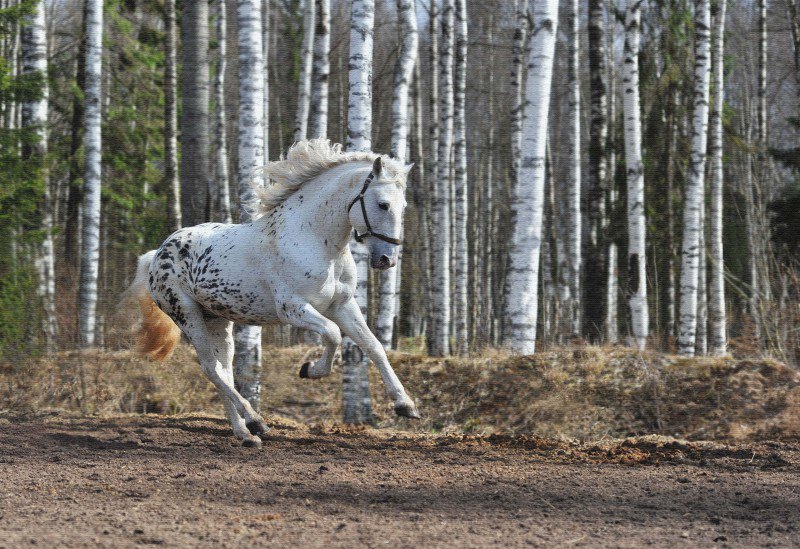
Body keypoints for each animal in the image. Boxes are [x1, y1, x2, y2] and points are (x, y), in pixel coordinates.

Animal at [125, 139, 418, 448]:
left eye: (403, 205)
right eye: (383, 204)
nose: (387, 260)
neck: (314, 240)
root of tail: (157, 253)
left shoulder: (342, 306)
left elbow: (374, 346)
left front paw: (405, 405)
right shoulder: (293, 309)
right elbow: (333, 334)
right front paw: (310, 370)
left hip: (217, 320)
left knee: (223, 369)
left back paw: (245, 435)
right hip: (188, 315)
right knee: (211, 368)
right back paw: (256, 421)